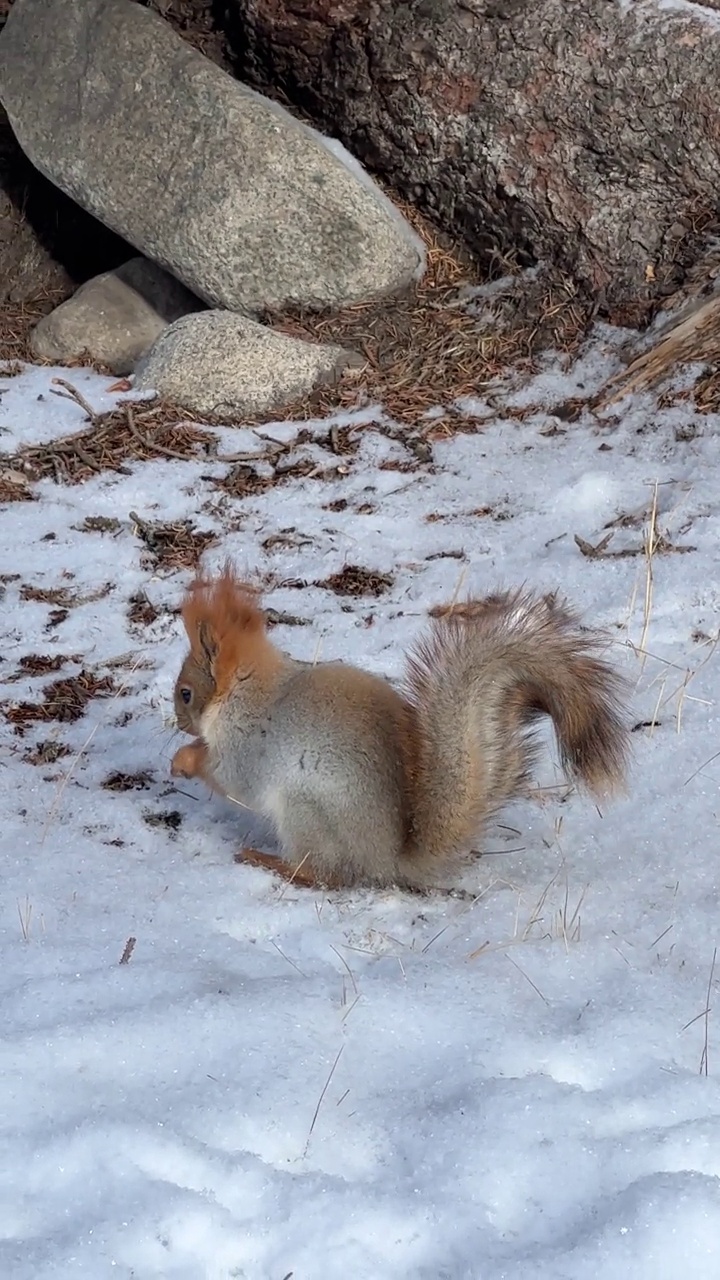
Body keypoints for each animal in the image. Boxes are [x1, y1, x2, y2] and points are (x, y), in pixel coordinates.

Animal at [169, 565, 627, 896]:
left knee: (326, 875)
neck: (247, 691)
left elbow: (231, 778)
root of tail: (389, 858)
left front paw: (184, 758)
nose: (178, 722)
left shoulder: (247, 745)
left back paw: (270, 862)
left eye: (186, 693)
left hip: (306, 810)